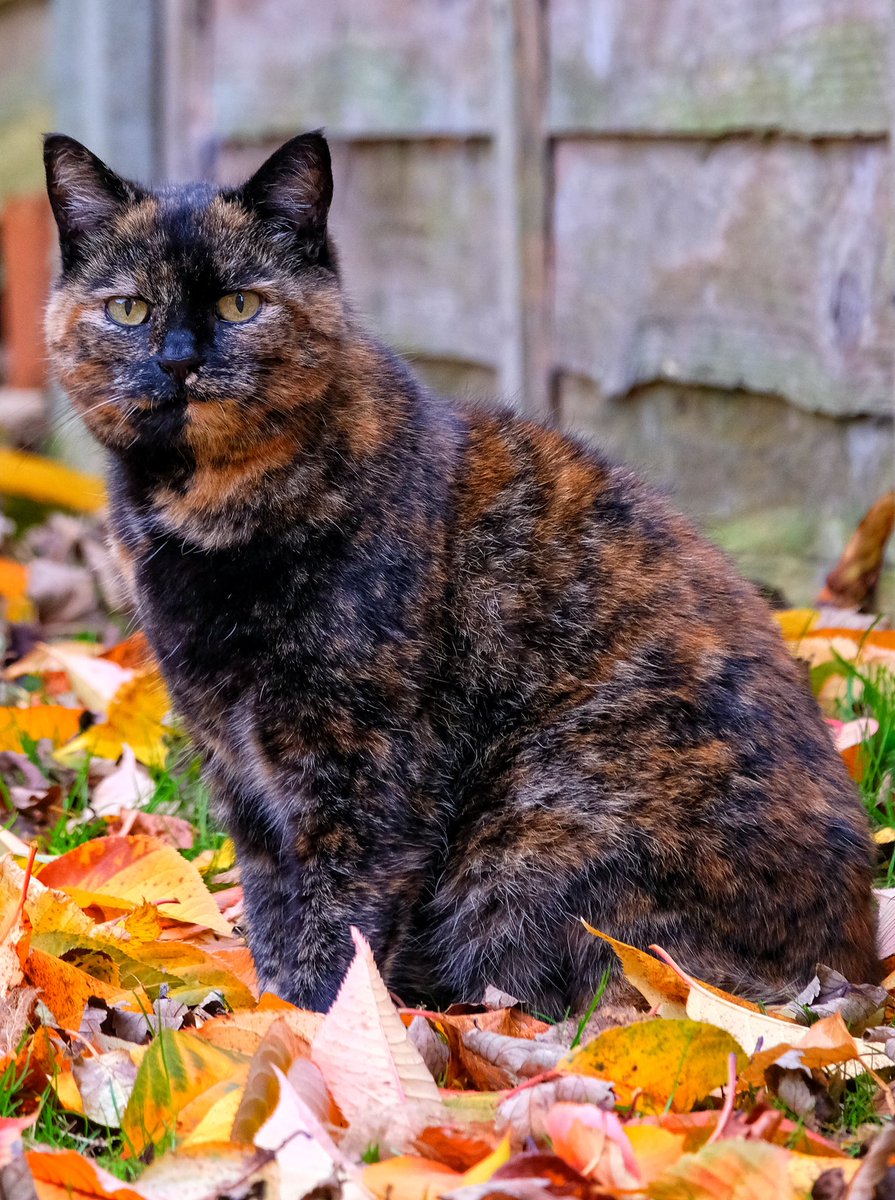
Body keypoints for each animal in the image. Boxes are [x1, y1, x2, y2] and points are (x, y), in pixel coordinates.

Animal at [41, 131, 873, 1012]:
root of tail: (845, 972)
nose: (178, 361)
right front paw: (269, 1016)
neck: (207, 517)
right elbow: (274, 906)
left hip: (543, 821)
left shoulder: (365, 767)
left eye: (241, 305)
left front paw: (306, 1028)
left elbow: (336, 920)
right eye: (129, 309)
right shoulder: (236, 764)